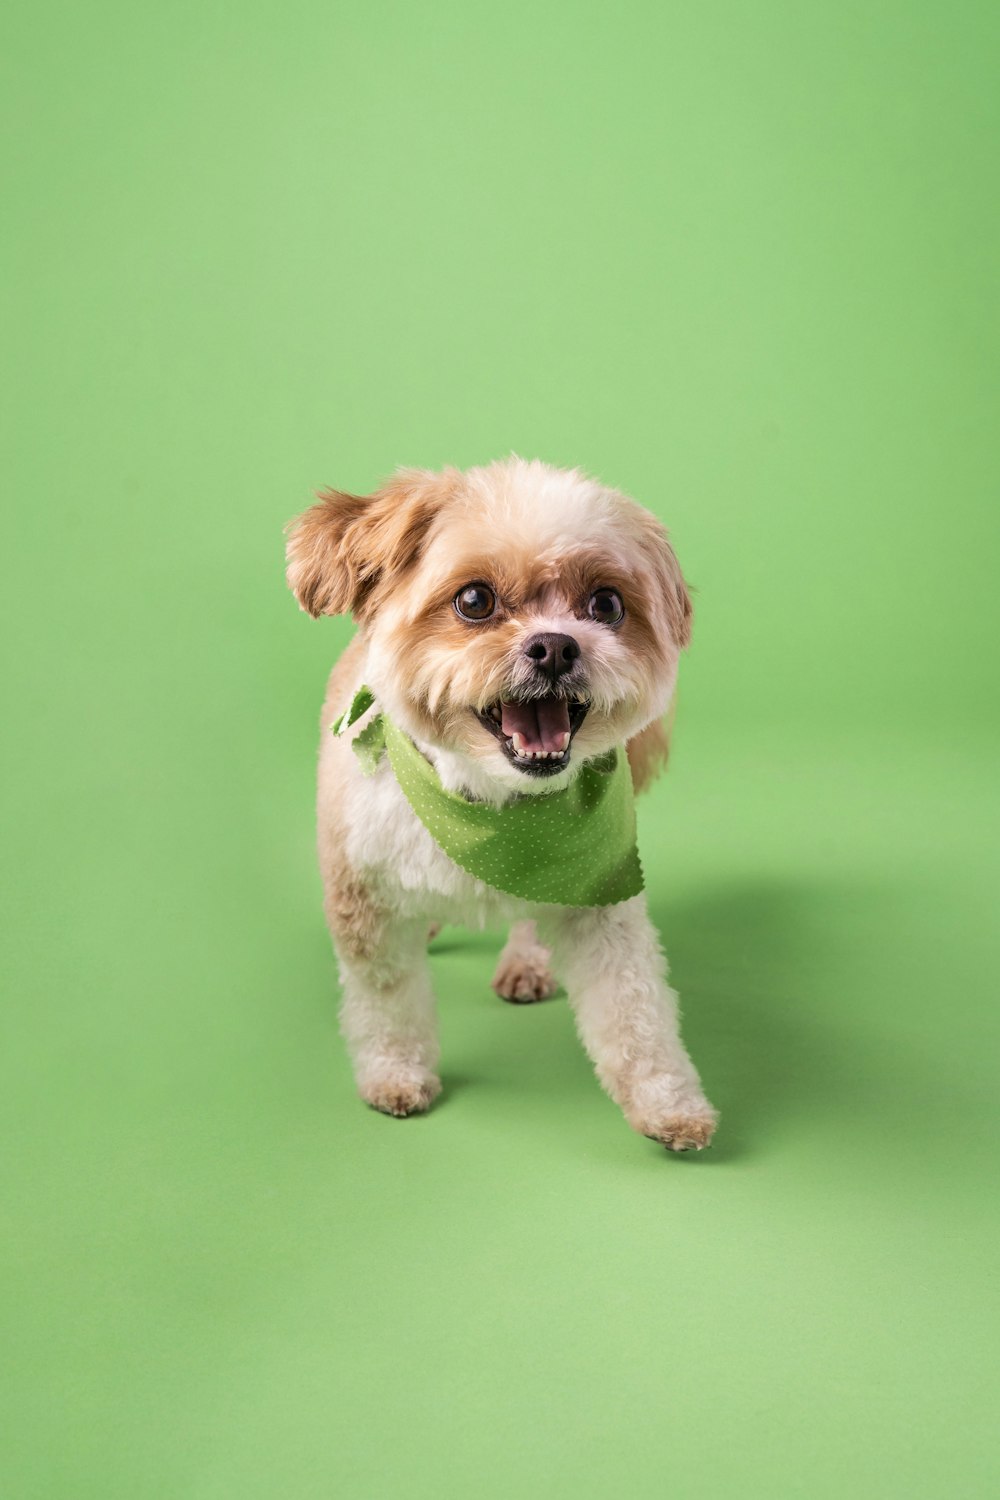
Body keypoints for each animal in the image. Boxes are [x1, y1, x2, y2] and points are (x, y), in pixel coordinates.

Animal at [284, 453, 716, 1146]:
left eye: (606, 603)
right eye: (475, 600)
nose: (556, 645)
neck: (491, 806)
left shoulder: (601, 899)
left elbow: (634, 1007)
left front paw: (667, 1100)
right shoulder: (365, 895)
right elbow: (387, 1000)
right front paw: (395, 1074)